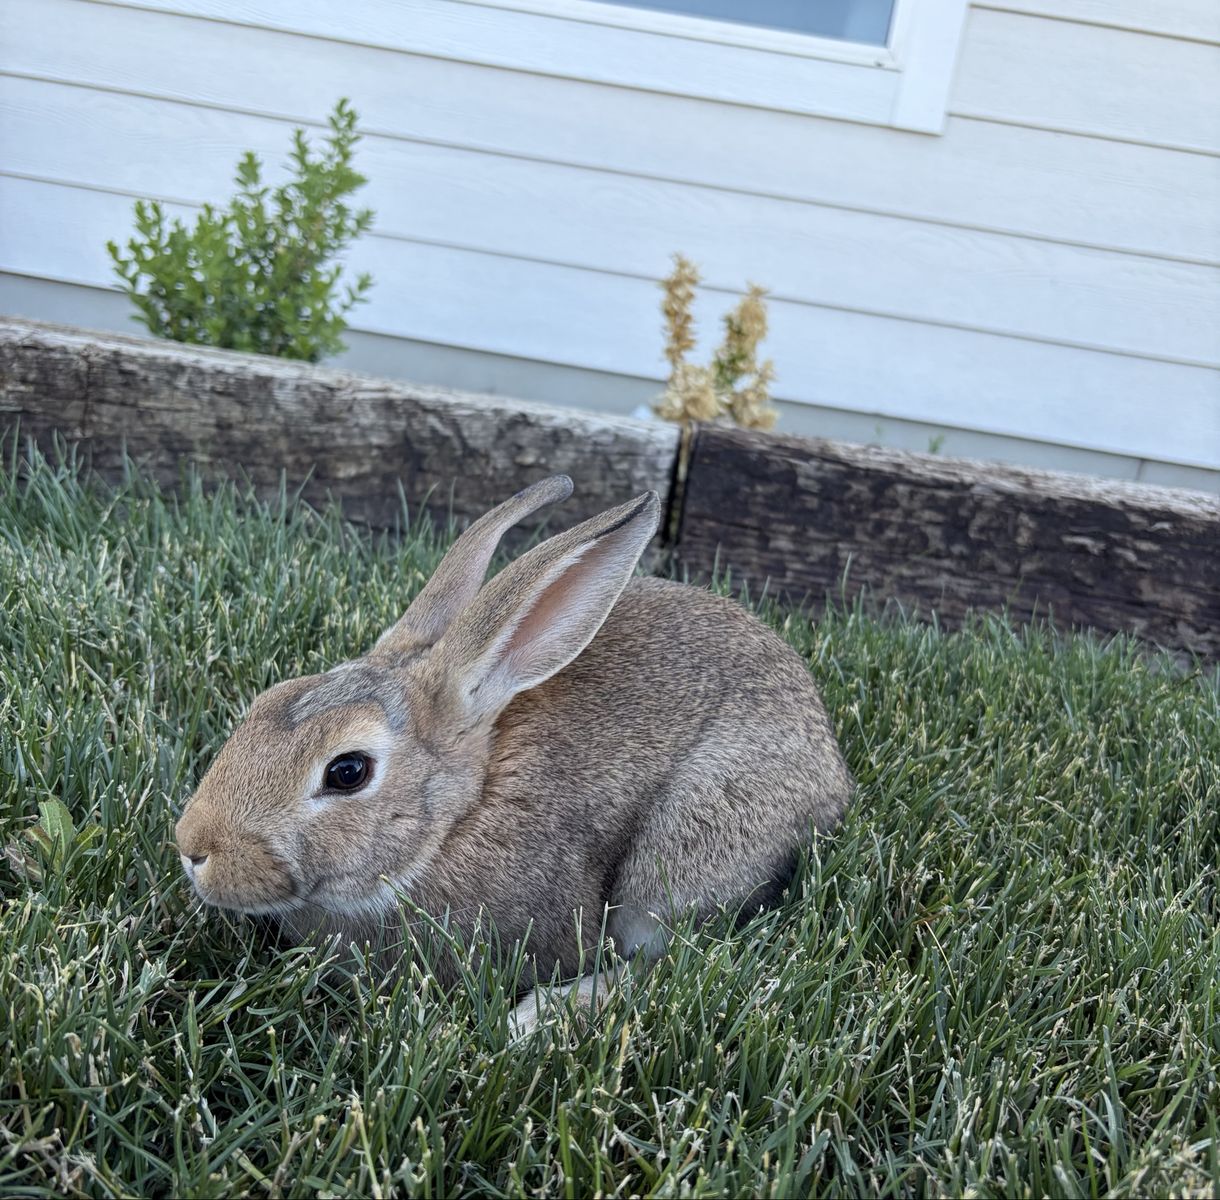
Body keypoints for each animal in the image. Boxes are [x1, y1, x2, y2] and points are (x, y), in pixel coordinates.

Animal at [175, 474, 853, 1034]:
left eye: (347, 772)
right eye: (269, 699)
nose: (193, 847)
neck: (459, 817)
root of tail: (830, 770)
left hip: (686, 847)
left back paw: (542, 1017)